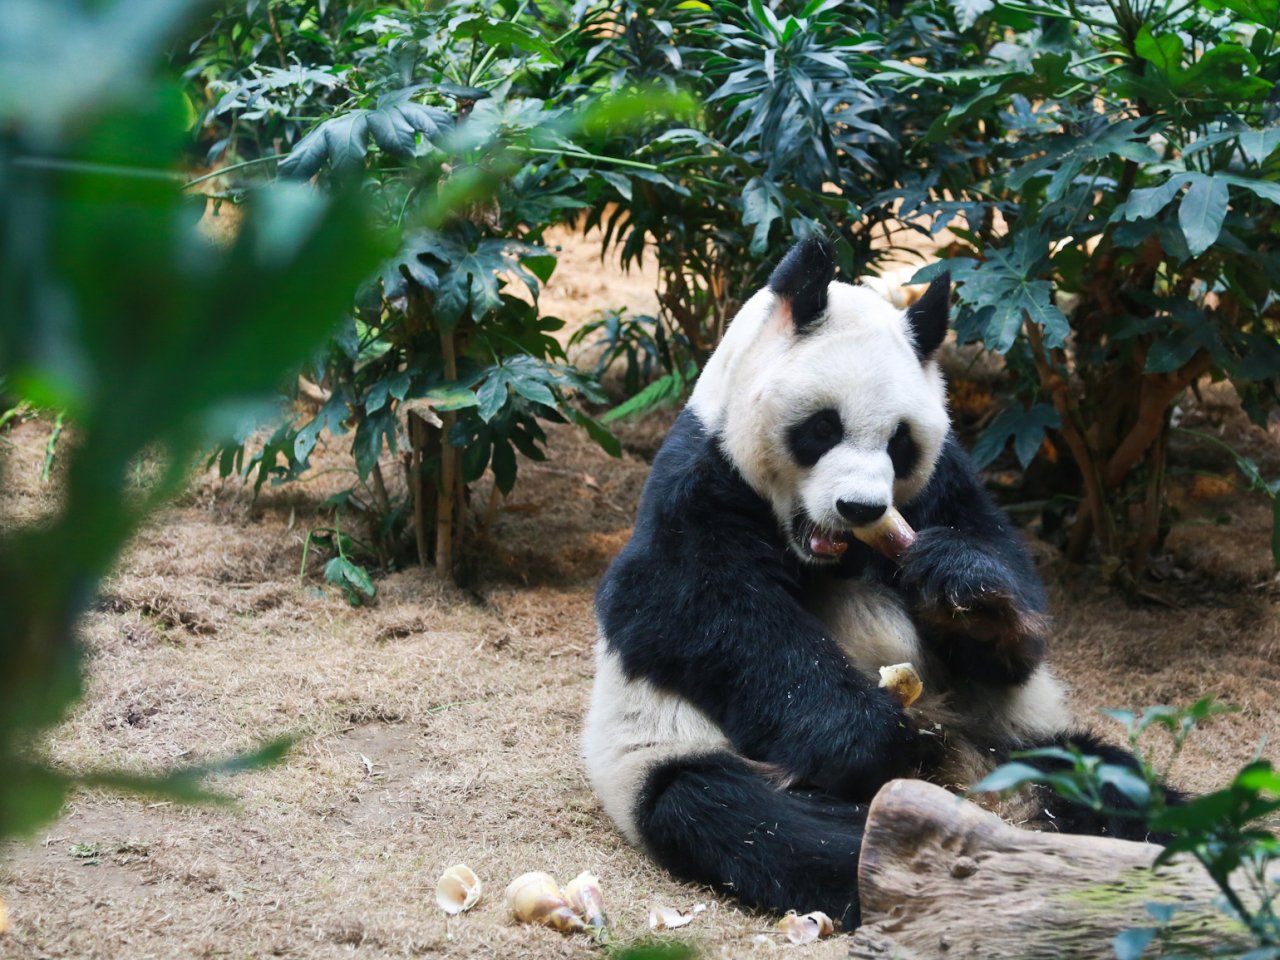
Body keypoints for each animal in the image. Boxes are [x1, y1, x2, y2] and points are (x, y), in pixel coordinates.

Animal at [581, 236, 1172, 926]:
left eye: (900, 443)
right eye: (823, 428)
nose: (861, 508)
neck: (820, 552)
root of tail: (971, 776)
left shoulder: (945, 481)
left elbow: (1008, 616)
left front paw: (970, 598)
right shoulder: (700, 480)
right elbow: (685, 607)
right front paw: (871, 734)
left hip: (1016, 737)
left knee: (1107, 779)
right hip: (678, 756)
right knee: (748, 817)